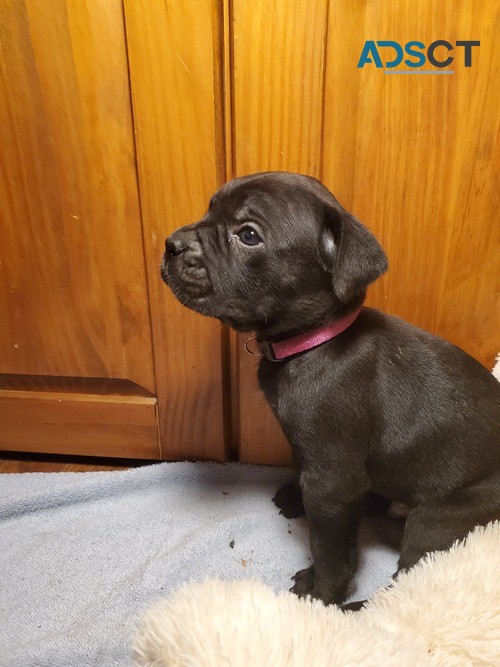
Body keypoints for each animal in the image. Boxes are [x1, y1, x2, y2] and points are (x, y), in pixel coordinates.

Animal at [161, 171, 500, 604]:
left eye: (249, 235)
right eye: (209, 208)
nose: (171, 244)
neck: (314, 341)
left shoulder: (333, 483)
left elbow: (329, 547)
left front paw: (322, 593)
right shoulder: (315, 456)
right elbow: (302, 469)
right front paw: (294, 495)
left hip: (439, 520)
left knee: (410, 581)